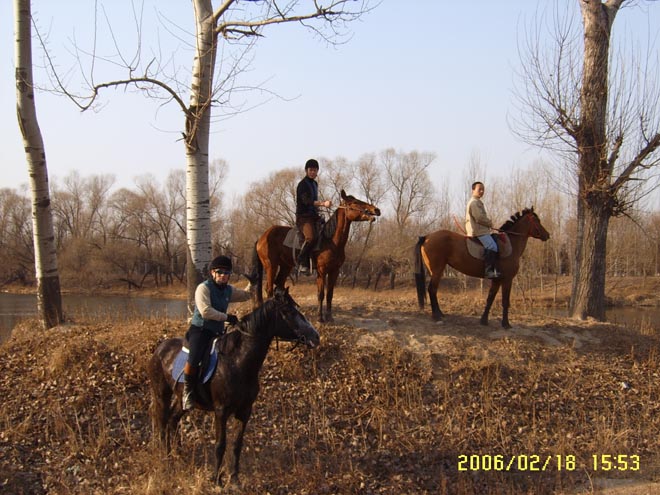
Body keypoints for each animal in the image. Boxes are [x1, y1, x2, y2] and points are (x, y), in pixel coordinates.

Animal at [146, 288, 320, 486]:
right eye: (289, 312)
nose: (315, 337)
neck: (237, 361)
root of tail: (160, 348)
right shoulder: (221, 411)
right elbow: (220, 445)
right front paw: (216, 479)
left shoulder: (244, 411)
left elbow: (237, 445)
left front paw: (234, 478)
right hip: (161, 395)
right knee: (163, 423)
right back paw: (166, 458)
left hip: (182, 399)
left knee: (173, 420)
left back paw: (180, 456)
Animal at [250, 189, 378, 322]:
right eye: (354, 202)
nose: (376, 210)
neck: (330, 240)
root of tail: (262, 237)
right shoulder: (322, 271)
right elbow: (320, 294)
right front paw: (320, 318)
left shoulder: (334, 271)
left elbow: (330, 294)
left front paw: (329, 317)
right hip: (271, 266)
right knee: (269, 288)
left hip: (286, 266)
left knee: (279, 284)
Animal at [412, 208, 552, 330]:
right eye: (537, 221)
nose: (548, 235)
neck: (512, 244)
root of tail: (427, 236)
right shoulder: (507, 279)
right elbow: (505, 301)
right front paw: (506, 324)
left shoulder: (497, 280)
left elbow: (490, 298)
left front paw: (484, 320)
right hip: (437, 270)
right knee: (431, 290)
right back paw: (436, 316)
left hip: (436, 271)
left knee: (434, 290)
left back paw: (440, 314)